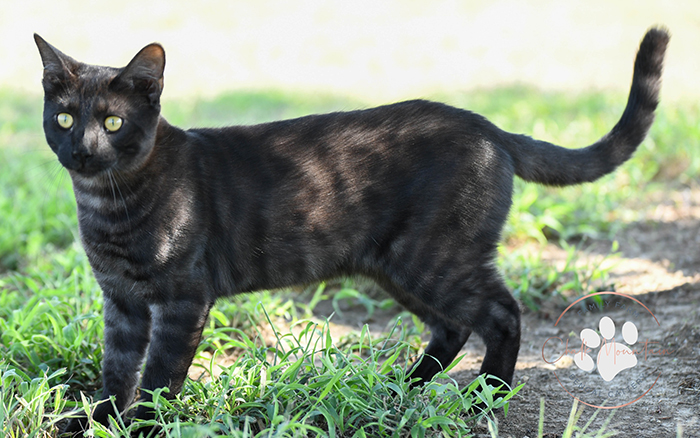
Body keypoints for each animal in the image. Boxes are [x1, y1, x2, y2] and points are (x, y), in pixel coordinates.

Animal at [35, 27, 668, 434]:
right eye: (64, 117)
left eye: (112, 122)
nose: (82, 150)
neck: (107, 205)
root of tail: (488, 126)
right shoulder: (121, 303)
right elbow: (116, 370)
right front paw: (97, 422)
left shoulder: (182, 300)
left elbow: (159, 377)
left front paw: (142, 427)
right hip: (399, 266)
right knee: (453, 326)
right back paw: (401, 390)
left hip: (433, 258)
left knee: (502, 314)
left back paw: (483, 401)